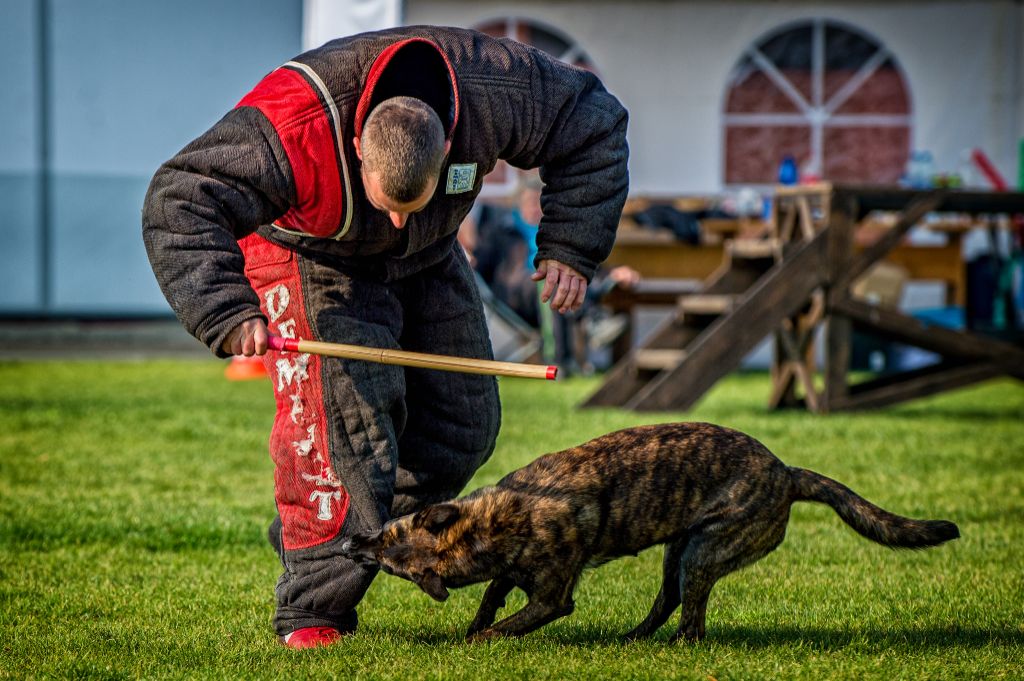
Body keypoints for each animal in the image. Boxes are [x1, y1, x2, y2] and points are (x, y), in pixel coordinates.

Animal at [339, 421, 954, 639]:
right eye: (387, 535)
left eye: (387, 551)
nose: (349, 542)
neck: (490, 526)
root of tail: (785, 472)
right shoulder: (510, 570)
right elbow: (492, 598)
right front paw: (474, 625)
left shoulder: (553, 598)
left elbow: (511, 621)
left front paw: (478, 641)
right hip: (679, 552)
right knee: (668, 601)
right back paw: (635, 639)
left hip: (706, 551)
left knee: (693, 619)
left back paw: (680, 647)